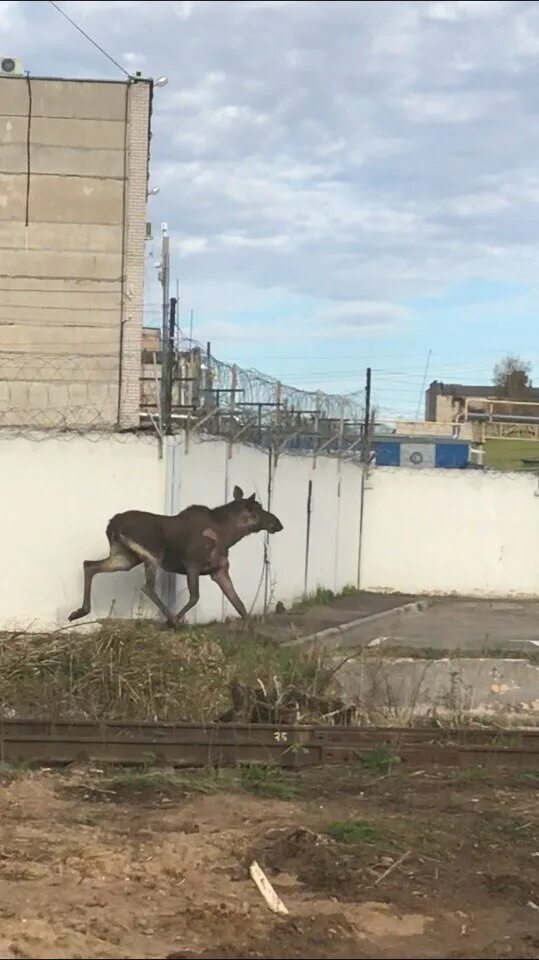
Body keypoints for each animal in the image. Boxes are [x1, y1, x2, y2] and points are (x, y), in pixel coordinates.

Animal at [69, 484, 284, 628]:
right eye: (257, 508)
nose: (278, 523)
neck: (228, 536)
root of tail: (112, 525)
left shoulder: (219, 570)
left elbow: (239, 604)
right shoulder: (192, 564)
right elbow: (195, 597)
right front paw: (175, 622)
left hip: (126, 558)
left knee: (89, 564)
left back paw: (79, 612)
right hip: (152, 554)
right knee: (147, 587)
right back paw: (172, 620)